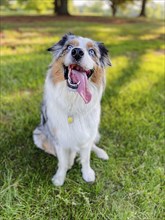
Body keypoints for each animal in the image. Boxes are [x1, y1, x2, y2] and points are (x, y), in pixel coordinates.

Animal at [32, 33, 111, 186]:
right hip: (39, 135)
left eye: (91, 51)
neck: (74, 99)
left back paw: (101, 153)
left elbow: (86, 158)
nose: (77, 52)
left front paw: (87, 174)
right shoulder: (59, 137)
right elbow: (62, 161)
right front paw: (59, 178)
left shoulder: (87, 134)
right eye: (69, 47)